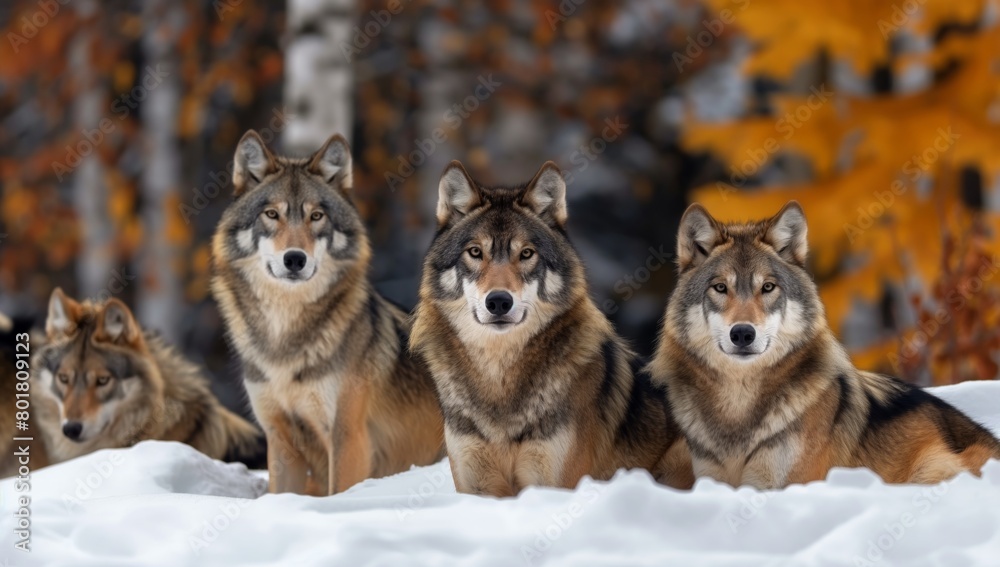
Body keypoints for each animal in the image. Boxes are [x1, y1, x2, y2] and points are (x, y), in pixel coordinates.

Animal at [211, 130, 445, 495]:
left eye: (316, 216)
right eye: (272, 214)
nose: (295, 259)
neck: (285, 338)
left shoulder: (347, 438)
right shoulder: (280, 439)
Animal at [411, 160, 693, 497]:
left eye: (527, 254)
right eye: (475, 252)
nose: (499, 301)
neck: (499, 380)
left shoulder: (554, 484)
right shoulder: (477, 488)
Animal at [649, 201, 1000, 488]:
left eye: (768, 287)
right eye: (720, 288)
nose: (743, 334)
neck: (739, 409)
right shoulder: (712, 479)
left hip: (933, 466)